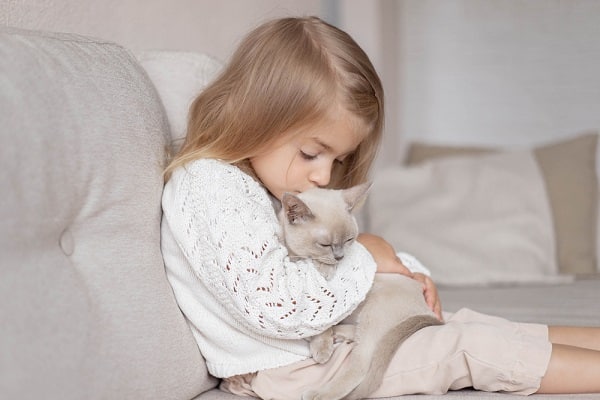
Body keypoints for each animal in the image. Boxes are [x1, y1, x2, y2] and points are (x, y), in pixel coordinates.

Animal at [276, 184, 440, 400]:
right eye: (325, 244)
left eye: (348, 240)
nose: (340, 257)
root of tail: (429, 312)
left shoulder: (326, 298)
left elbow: (321, 322)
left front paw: (322, 350)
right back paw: (338, 334)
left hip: (373, 313)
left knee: (360, 365)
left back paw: (317, 393)